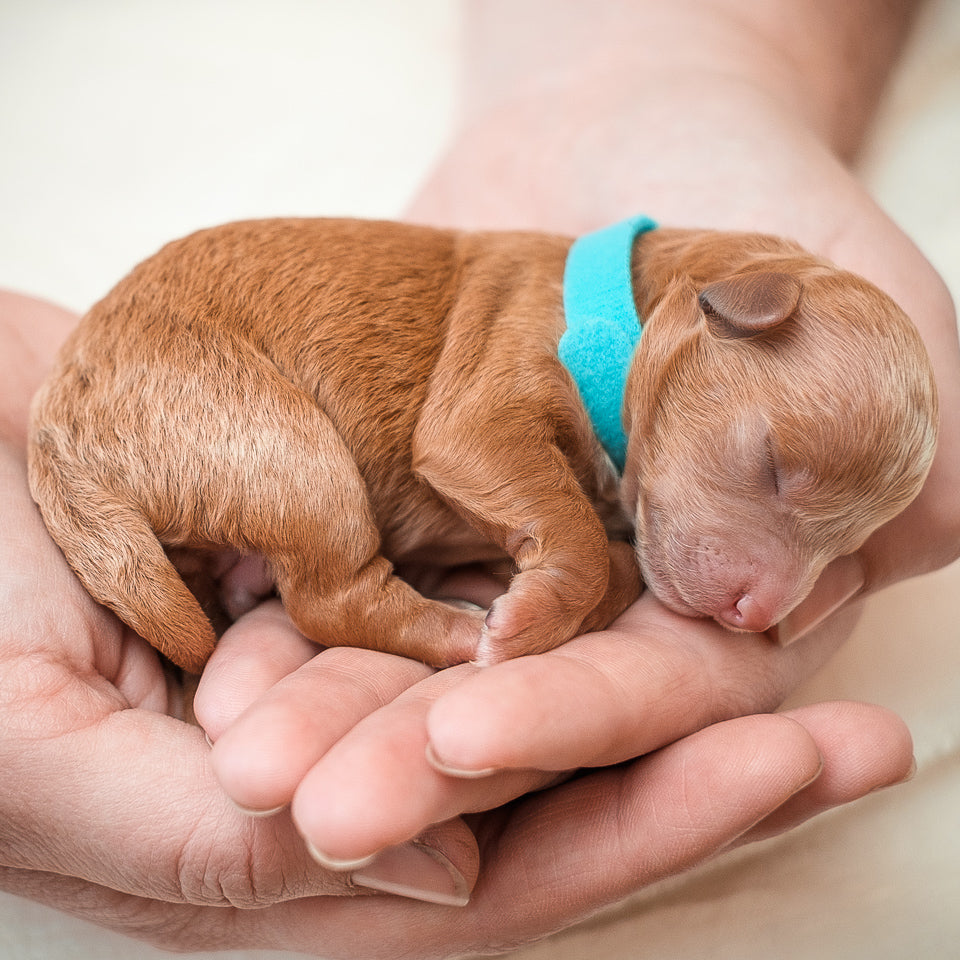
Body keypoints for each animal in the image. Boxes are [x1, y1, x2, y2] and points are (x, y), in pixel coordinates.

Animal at [28, 216, 936, 676]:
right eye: (774, 465)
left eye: (849, 545)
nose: (755, 616)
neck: (619, 308)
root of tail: (55, 424)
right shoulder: (483, 410)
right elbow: (574, 531)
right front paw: (539, 612)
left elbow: (600, 545)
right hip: (280, 445)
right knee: (329, 599)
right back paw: (456, 632)